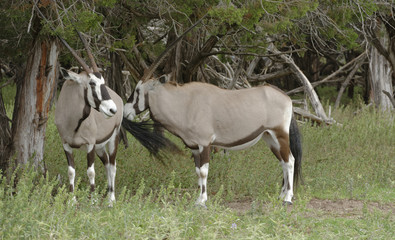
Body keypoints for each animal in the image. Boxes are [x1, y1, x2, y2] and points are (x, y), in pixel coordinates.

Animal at [54, 31, 122, 204]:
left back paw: (111, 199)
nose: (112, 109)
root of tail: (119, 97)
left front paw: (92, 201)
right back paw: (108, 194)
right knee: (107, 163)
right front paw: (72, 200)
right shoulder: (66, 144)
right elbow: (71, 171)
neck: (73, 122)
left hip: (113, 138)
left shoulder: (90, 144)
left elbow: (91, 171)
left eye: (102, 81)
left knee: (113, 165)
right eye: (91, 83)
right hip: (100, 147)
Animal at [124, 76, 304, 206]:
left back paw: (288, 198)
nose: (125, 111)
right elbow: (198, 172)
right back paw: (281, 195)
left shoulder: (205, 144)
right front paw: (198, 198)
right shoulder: (194, 147)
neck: (185, 103)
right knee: (283, 163)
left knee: (290, 161)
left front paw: (202, 201)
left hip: (280, 135)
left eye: (137, 90)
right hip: (270, 138)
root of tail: (286, 97)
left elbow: (204, 171)